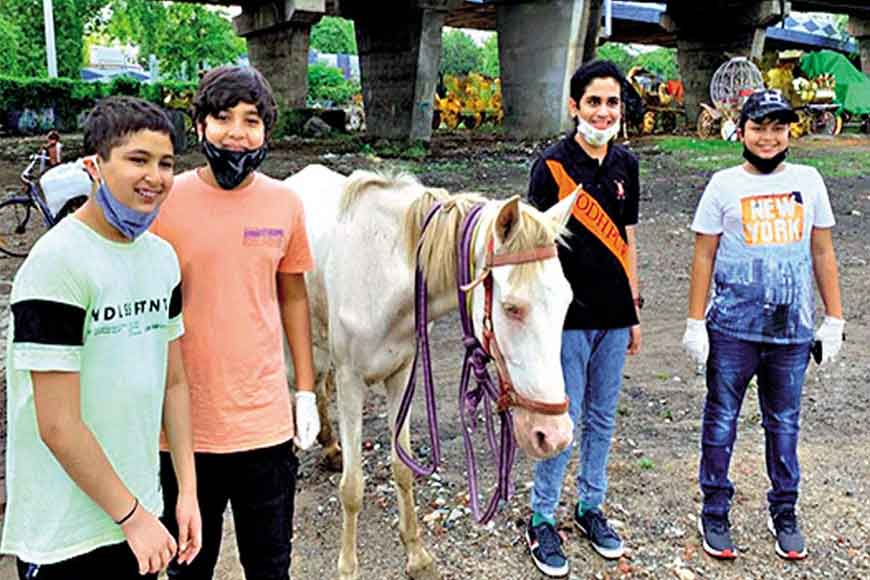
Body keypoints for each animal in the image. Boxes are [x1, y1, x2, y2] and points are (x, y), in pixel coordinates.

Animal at [288, 164, 580, 580]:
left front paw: (417, 556)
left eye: (567, 302)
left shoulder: (401, 376)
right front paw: (348, 567)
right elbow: (353, 487)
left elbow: (403, 469)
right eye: (511, 307)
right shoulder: (351, 382)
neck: (381, 271)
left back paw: (328, 445)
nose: (553, 436)